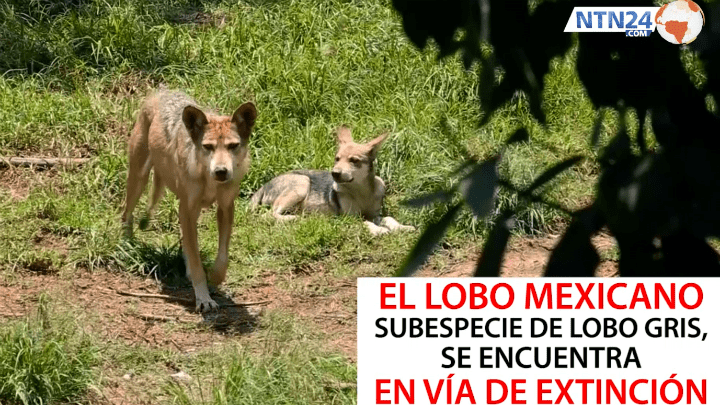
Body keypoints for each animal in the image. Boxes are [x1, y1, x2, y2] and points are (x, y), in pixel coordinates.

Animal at [121, 89, 257, 312]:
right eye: (208, 147)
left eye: (233, 146)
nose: (221, 171)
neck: (209, 181)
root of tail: (160, 91)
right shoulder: (188, 208)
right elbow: (197, 263)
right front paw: (204, 298)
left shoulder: (225, 207)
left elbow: (222, 257)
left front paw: (215, 278)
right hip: (138, 180)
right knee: (126, 214)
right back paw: (126, 245)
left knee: (186, 241)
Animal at [250, 126, 414, 236]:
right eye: (337, 159)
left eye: (354, 160)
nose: (334, 173)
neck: (361, 192)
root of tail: (264, 185)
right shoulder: (349, 217)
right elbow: (366, 222)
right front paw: (379, 230)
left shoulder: (374, 214)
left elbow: (389, 218)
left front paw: (402, 227)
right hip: (302, 183)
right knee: (267, 215)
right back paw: (294, 218)